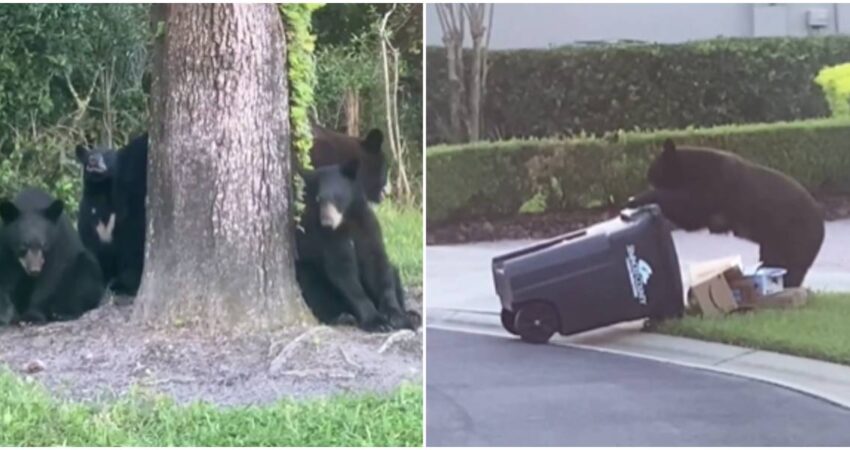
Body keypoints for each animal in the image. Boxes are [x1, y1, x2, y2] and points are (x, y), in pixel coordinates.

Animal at [0, 187, 104, 323]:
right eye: (24, 246)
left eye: (44, 245)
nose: (34, 270)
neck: (31, 205)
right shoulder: (6, 247)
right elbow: (5, 278)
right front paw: (6, 315)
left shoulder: (57, 245)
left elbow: (50, 279)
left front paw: (32, 316)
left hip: (86, 268)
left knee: (86, 279)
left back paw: (63, 313)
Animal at [294, 158, 419, 332]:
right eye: (319, 199)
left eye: (336, 196)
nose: (327, 221)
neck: (346, 222)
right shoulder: (327, 239)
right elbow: (343, 271)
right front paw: (377, 322)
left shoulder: (367, 226)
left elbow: (377, 264)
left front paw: (397, 316)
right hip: (307, 269)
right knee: (314, 288)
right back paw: (342, 317)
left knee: (393, 271)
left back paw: (412, 315)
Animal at [628, 138, 825, 288]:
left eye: (654, 169)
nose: (647, 175)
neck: (689, 170)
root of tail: (821, 223)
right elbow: (689, 217)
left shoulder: (715, 185)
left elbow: (690, 207)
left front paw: (639, 198)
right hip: (775, 242)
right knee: (774, 260)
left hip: (795, 236)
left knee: (792, 267)